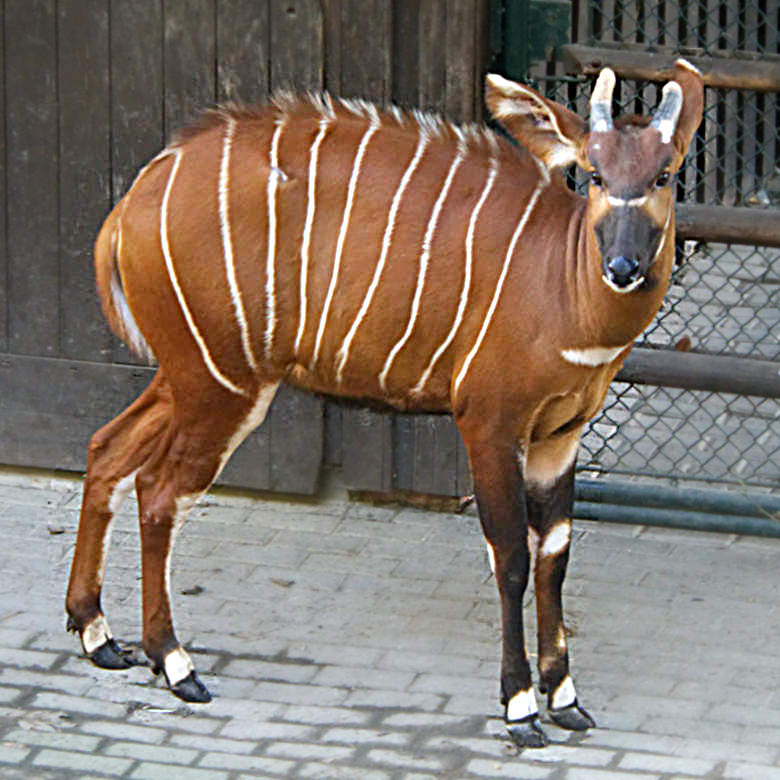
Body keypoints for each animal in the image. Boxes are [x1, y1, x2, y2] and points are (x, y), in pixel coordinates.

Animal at [65, 59, 700, 744]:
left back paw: (98, 635)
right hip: (221, 384)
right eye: (596, 173)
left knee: (106, 448)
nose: (624, 265)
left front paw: (566, 698)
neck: (562, 283)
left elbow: (555, 553)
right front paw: (521, 705)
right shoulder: (490, 423)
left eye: (663, 174)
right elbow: (509, 556)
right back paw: (176, 663)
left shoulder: (560, 435)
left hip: (186, 376)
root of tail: (132, 202)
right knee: (159, 491)